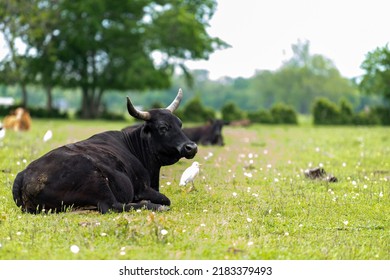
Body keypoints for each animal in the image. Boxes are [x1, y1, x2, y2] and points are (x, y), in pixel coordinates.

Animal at [12, 88, 198, 213]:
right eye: (163, 127)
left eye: (180, 124)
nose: (191, 147)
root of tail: (23, 174)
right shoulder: (142, 188)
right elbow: (166, 199)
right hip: (96, 180)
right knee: (112, 206)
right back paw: (153, 206)